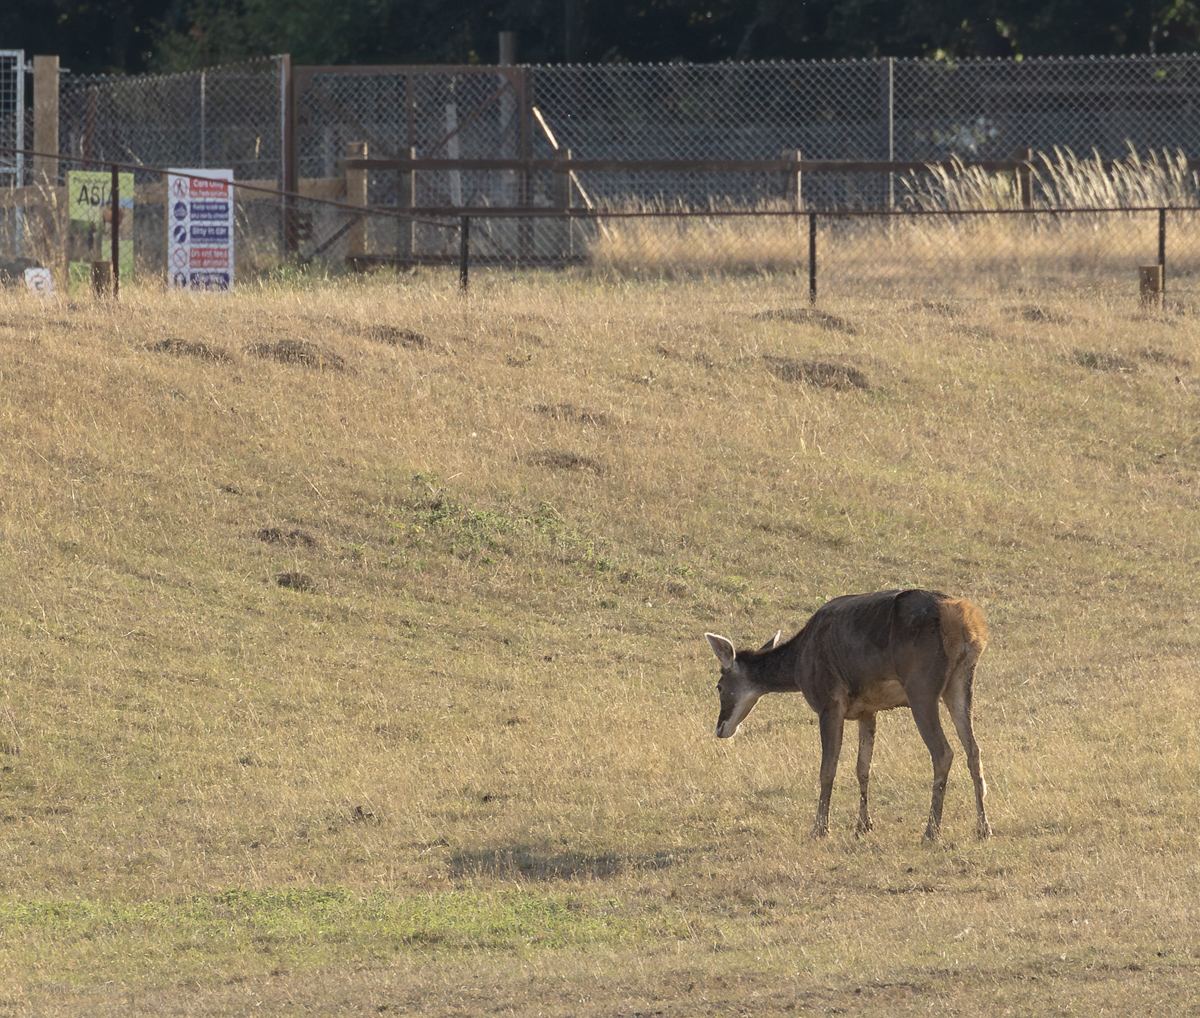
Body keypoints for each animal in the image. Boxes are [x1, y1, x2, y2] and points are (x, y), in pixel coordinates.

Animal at [705, 588, 991, 842]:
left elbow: (827, 769)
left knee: (944, 752)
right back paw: (983, 828)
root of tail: (967, 621)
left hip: (921, 686)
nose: (720, 729)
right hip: (961, 681)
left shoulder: (829, 703)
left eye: (718, 686)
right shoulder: (868, 709)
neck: (798, 666)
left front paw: (820, 829)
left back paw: (931, 831)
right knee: (974, 750)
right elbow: (862, 767)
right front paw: (864, 825)